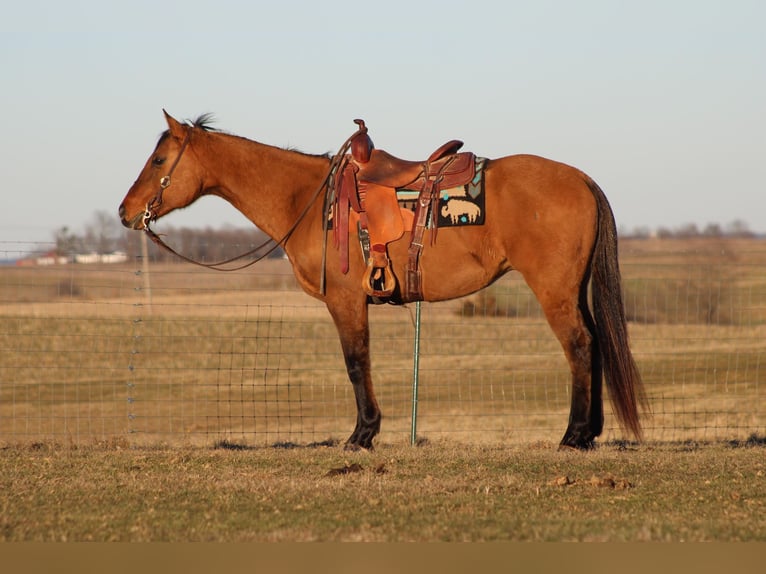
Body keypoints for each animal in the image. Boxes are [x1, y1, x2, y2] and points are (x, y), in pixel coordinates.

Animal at [118, 112, 648, 452]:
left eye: (159, 161)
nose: (126, 211)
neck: (306, 200)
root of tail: (581, 179)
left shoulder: (346, 301)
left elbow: (357, 364)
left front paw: (362, 435)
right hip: (572, 290)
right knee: (594, 344)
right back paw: (590, 432)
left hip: (554, 291)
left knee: (579, 346)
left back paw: (573, 436)